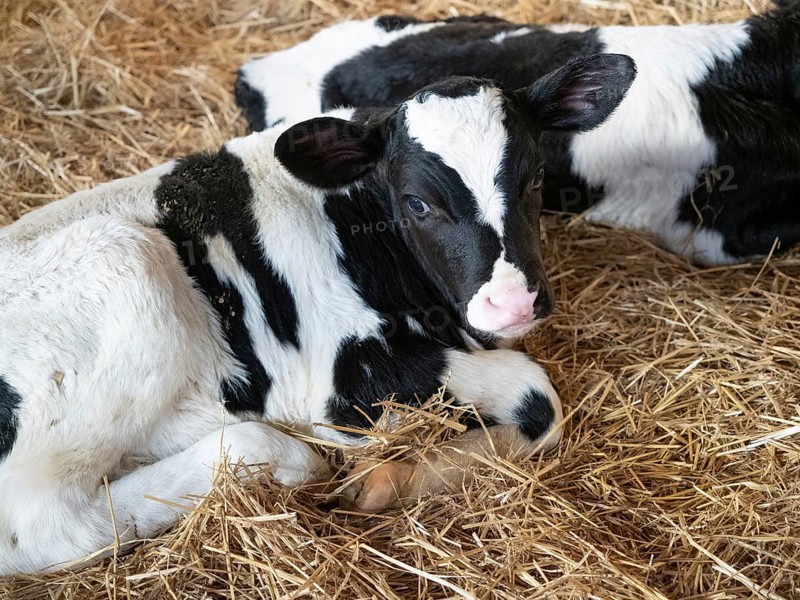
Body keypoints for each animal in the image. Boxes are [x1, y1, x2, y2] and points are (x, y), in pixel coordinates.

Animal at [0, 55, 636, 575]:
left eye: (534, 178)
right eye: (417, 202)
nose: (513, 302)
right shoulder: (345, 379)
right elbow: (539, 398)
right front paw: (382, 480)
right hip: (124, 264)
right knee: (44, 531)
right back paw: (280, 458)